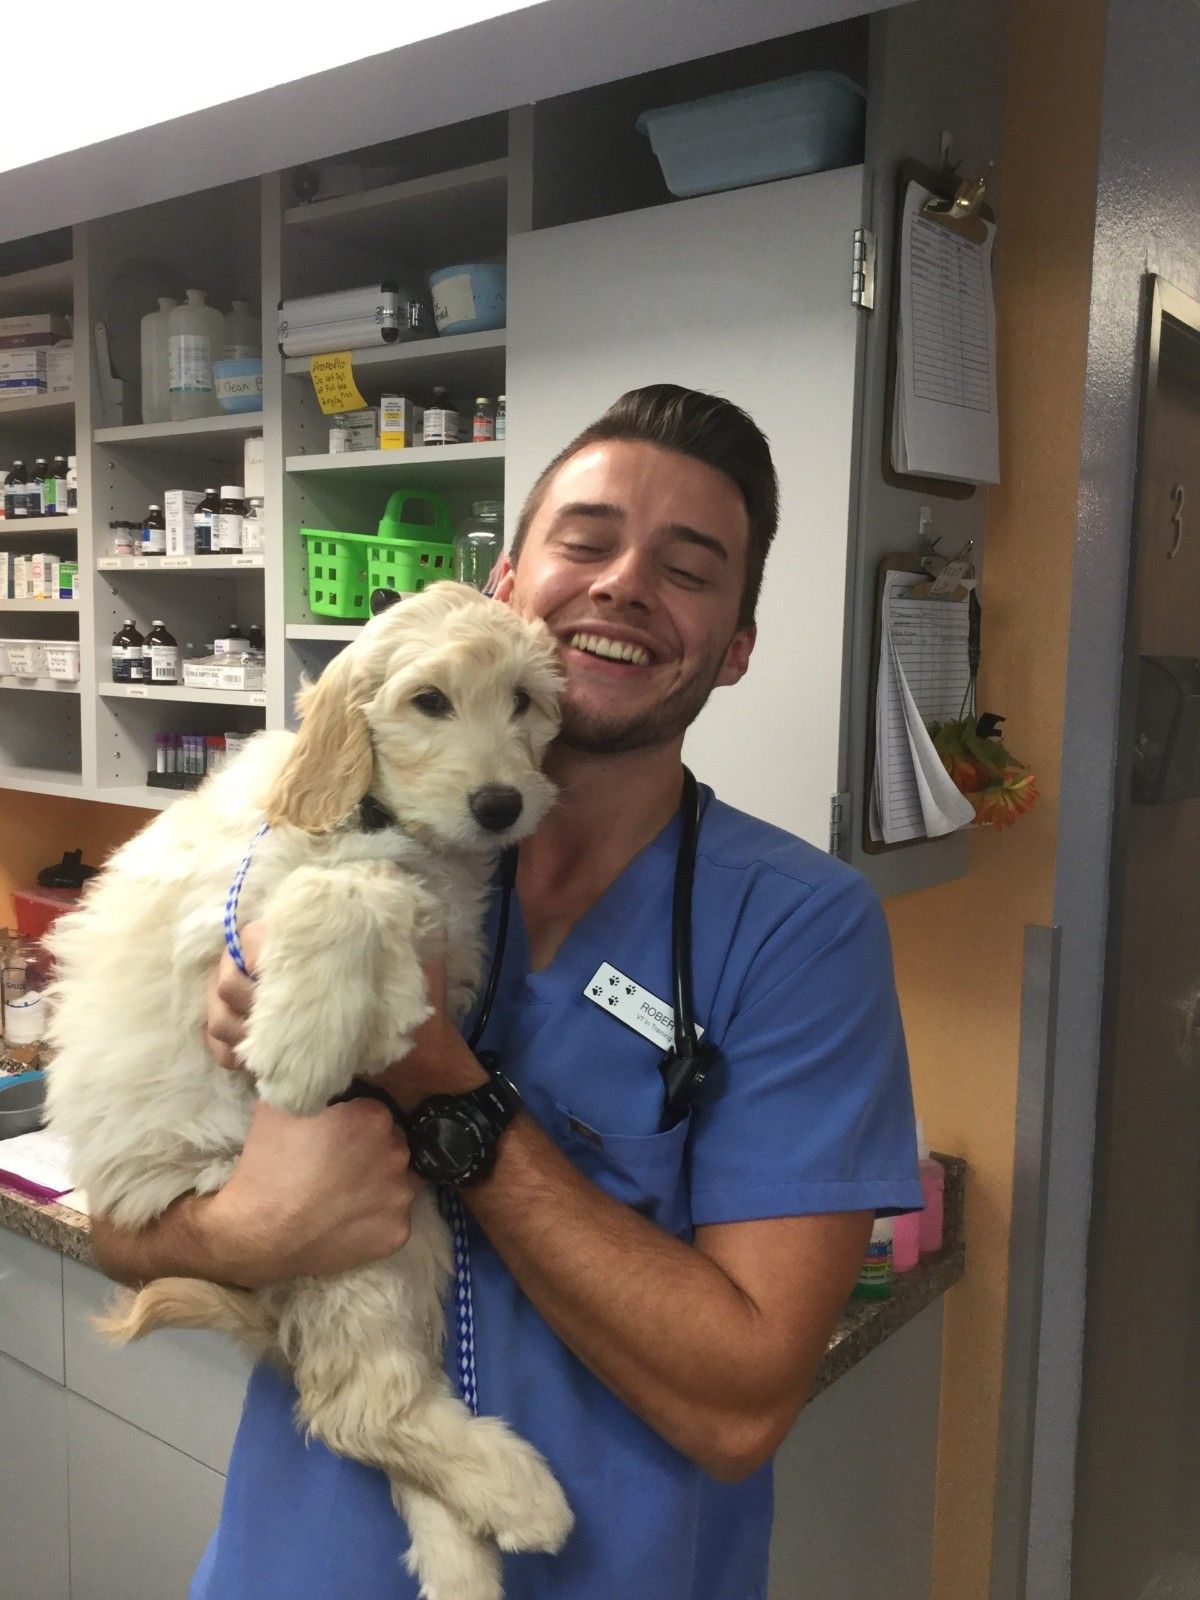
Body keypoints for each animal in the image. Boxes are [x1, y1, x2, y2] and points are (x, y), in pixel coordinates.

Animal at [44, 585, 569, 1600]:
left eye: (523, 701)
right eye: (429, 701)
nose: (501, 806)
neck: (378, 814)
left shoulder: (448, 916)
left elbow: (391, 895)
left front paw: (362, 1011)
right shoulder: (234, 911)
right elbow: (344, 887)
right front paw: (306, 1034)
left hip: (393, 1237)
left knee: (364, 1403)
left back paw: (482, 1538)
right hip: (340, 1243)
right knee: (355, 1406)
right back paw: (512, 1501)